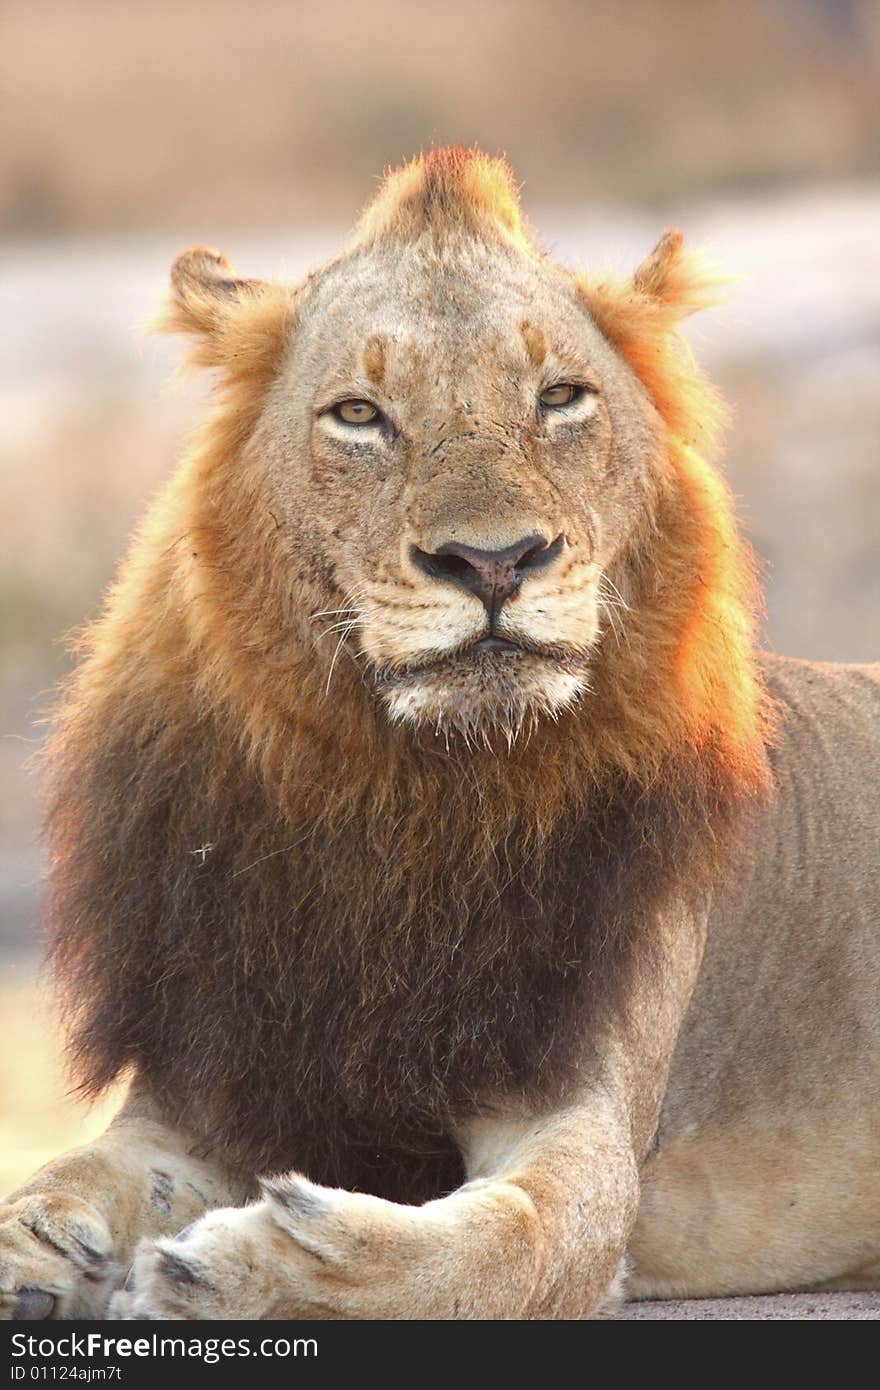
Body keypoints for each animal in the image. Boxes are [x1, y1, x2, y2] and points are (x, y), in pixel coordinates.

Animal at [1, 146, 878, 1317]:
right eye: (359, 414)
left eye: (560, 397)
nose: (494, 561)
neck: (406, 796)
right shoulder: (203, 1082)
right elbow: (74, 1171)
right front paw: (40, 1251)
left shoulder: (584, 1126)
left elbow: (493, 1247)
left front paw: (246, 1267)